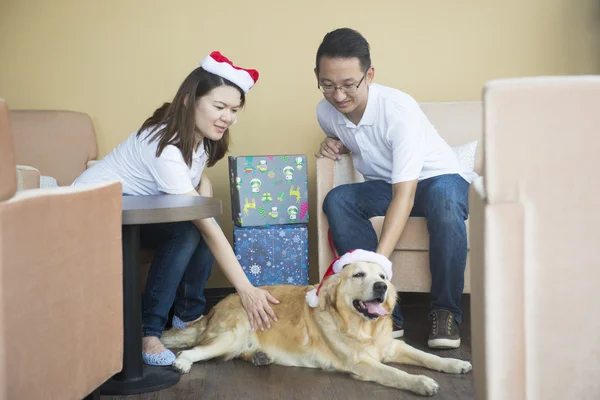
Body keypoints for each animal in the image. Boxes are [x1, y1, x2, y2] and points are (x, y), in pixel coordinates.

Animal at [161, 260, 474, 396]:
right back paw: (183, 363)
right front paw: (422, 382)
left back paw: (260, 356)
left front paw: (455, 365)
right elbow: (397, 373)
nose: (382, 287)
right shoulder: (361, 363)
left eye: (383, 276)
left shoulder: (393, 346)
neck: (362, 328)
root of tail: (216, 306)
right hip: (232, 336)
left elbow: (428, 356)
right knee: (193, 350)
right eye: (358, 274)